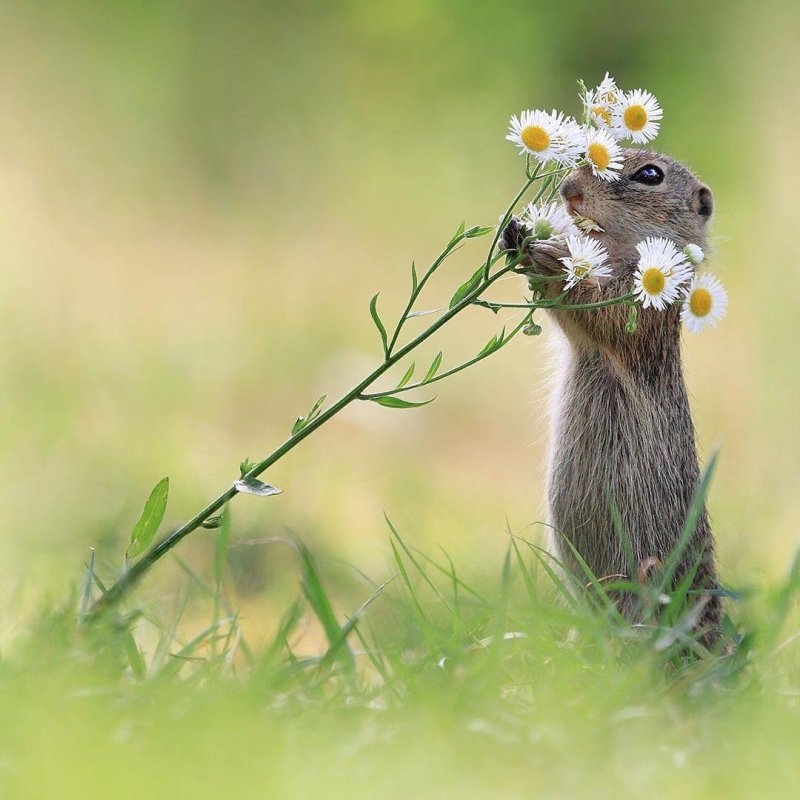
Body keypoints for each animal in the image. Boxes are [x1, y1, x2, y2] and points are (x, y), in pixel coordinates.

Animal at [500, 150, 720, 644]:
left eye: (650, 175)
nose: (569, 189)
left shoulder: (639, 310)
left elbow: (599, 311)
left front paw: (550, 256)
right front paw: (517, 234)